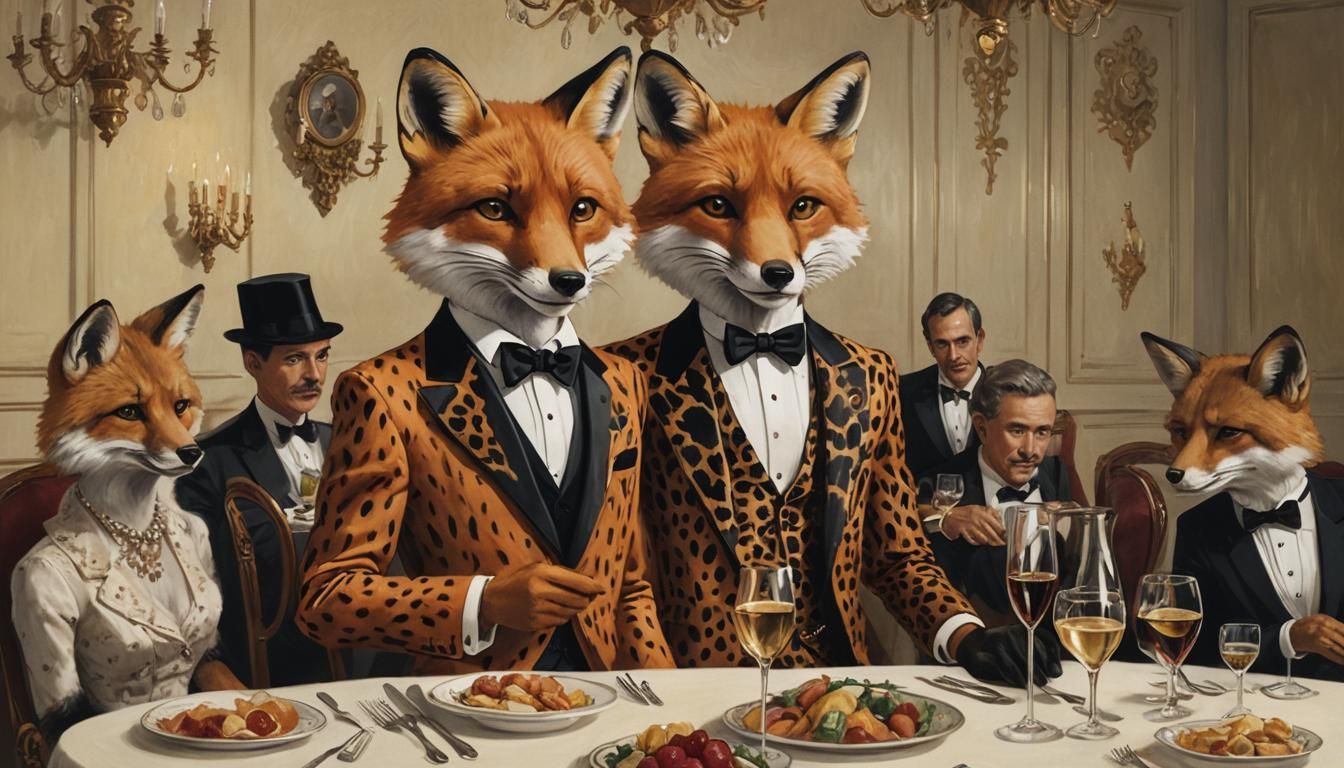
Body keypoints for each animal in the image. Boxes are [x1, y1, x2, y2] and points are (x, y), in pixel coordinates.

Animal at [17, 285, 241, 742]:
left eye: (180, 406)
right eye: (129, 412)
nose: (193, 452)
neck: (134, 529)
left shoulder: (210, 642)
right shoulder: (37, 598)